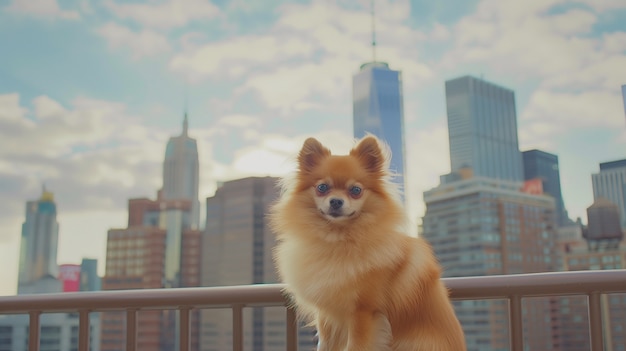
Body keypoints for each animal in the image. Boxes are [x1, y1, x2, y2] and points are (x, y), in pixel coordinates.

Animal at [270, 136, 466, 350]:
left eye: (356, 190)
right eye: (322, 188)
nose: (336, 201)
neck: (337, 241)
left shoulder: (363, 313)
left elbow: (356, 345)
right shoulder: (328, 315)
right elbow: (325, 345)